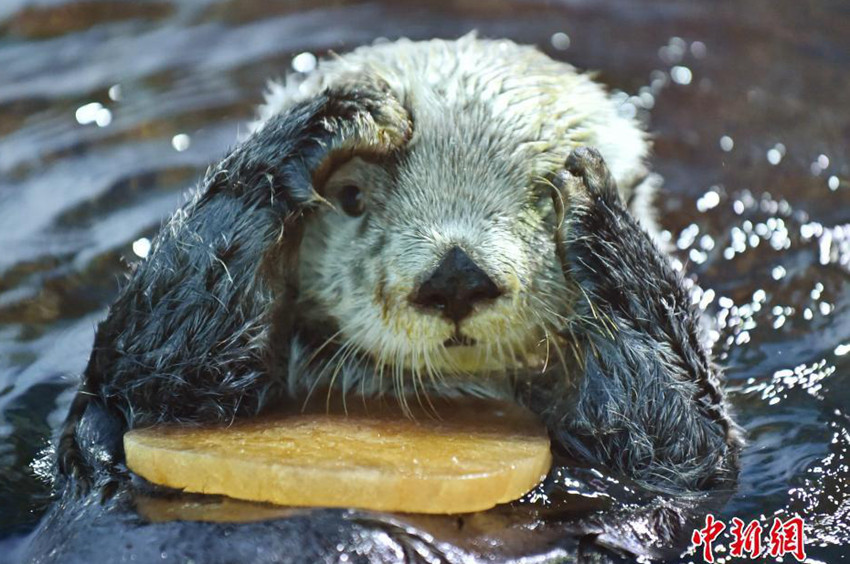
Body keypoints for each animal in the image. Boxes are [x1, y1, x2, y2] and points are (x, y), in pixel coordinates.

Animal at [26, 36, 740, 564]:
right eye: (350, 197)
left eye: (542, 201)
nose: (456, 277)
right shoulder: (138, 409)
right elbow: (156, 375)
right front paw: (332, 117)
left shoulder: (657, 484)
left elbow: (676, 443)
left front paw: (600, 216)